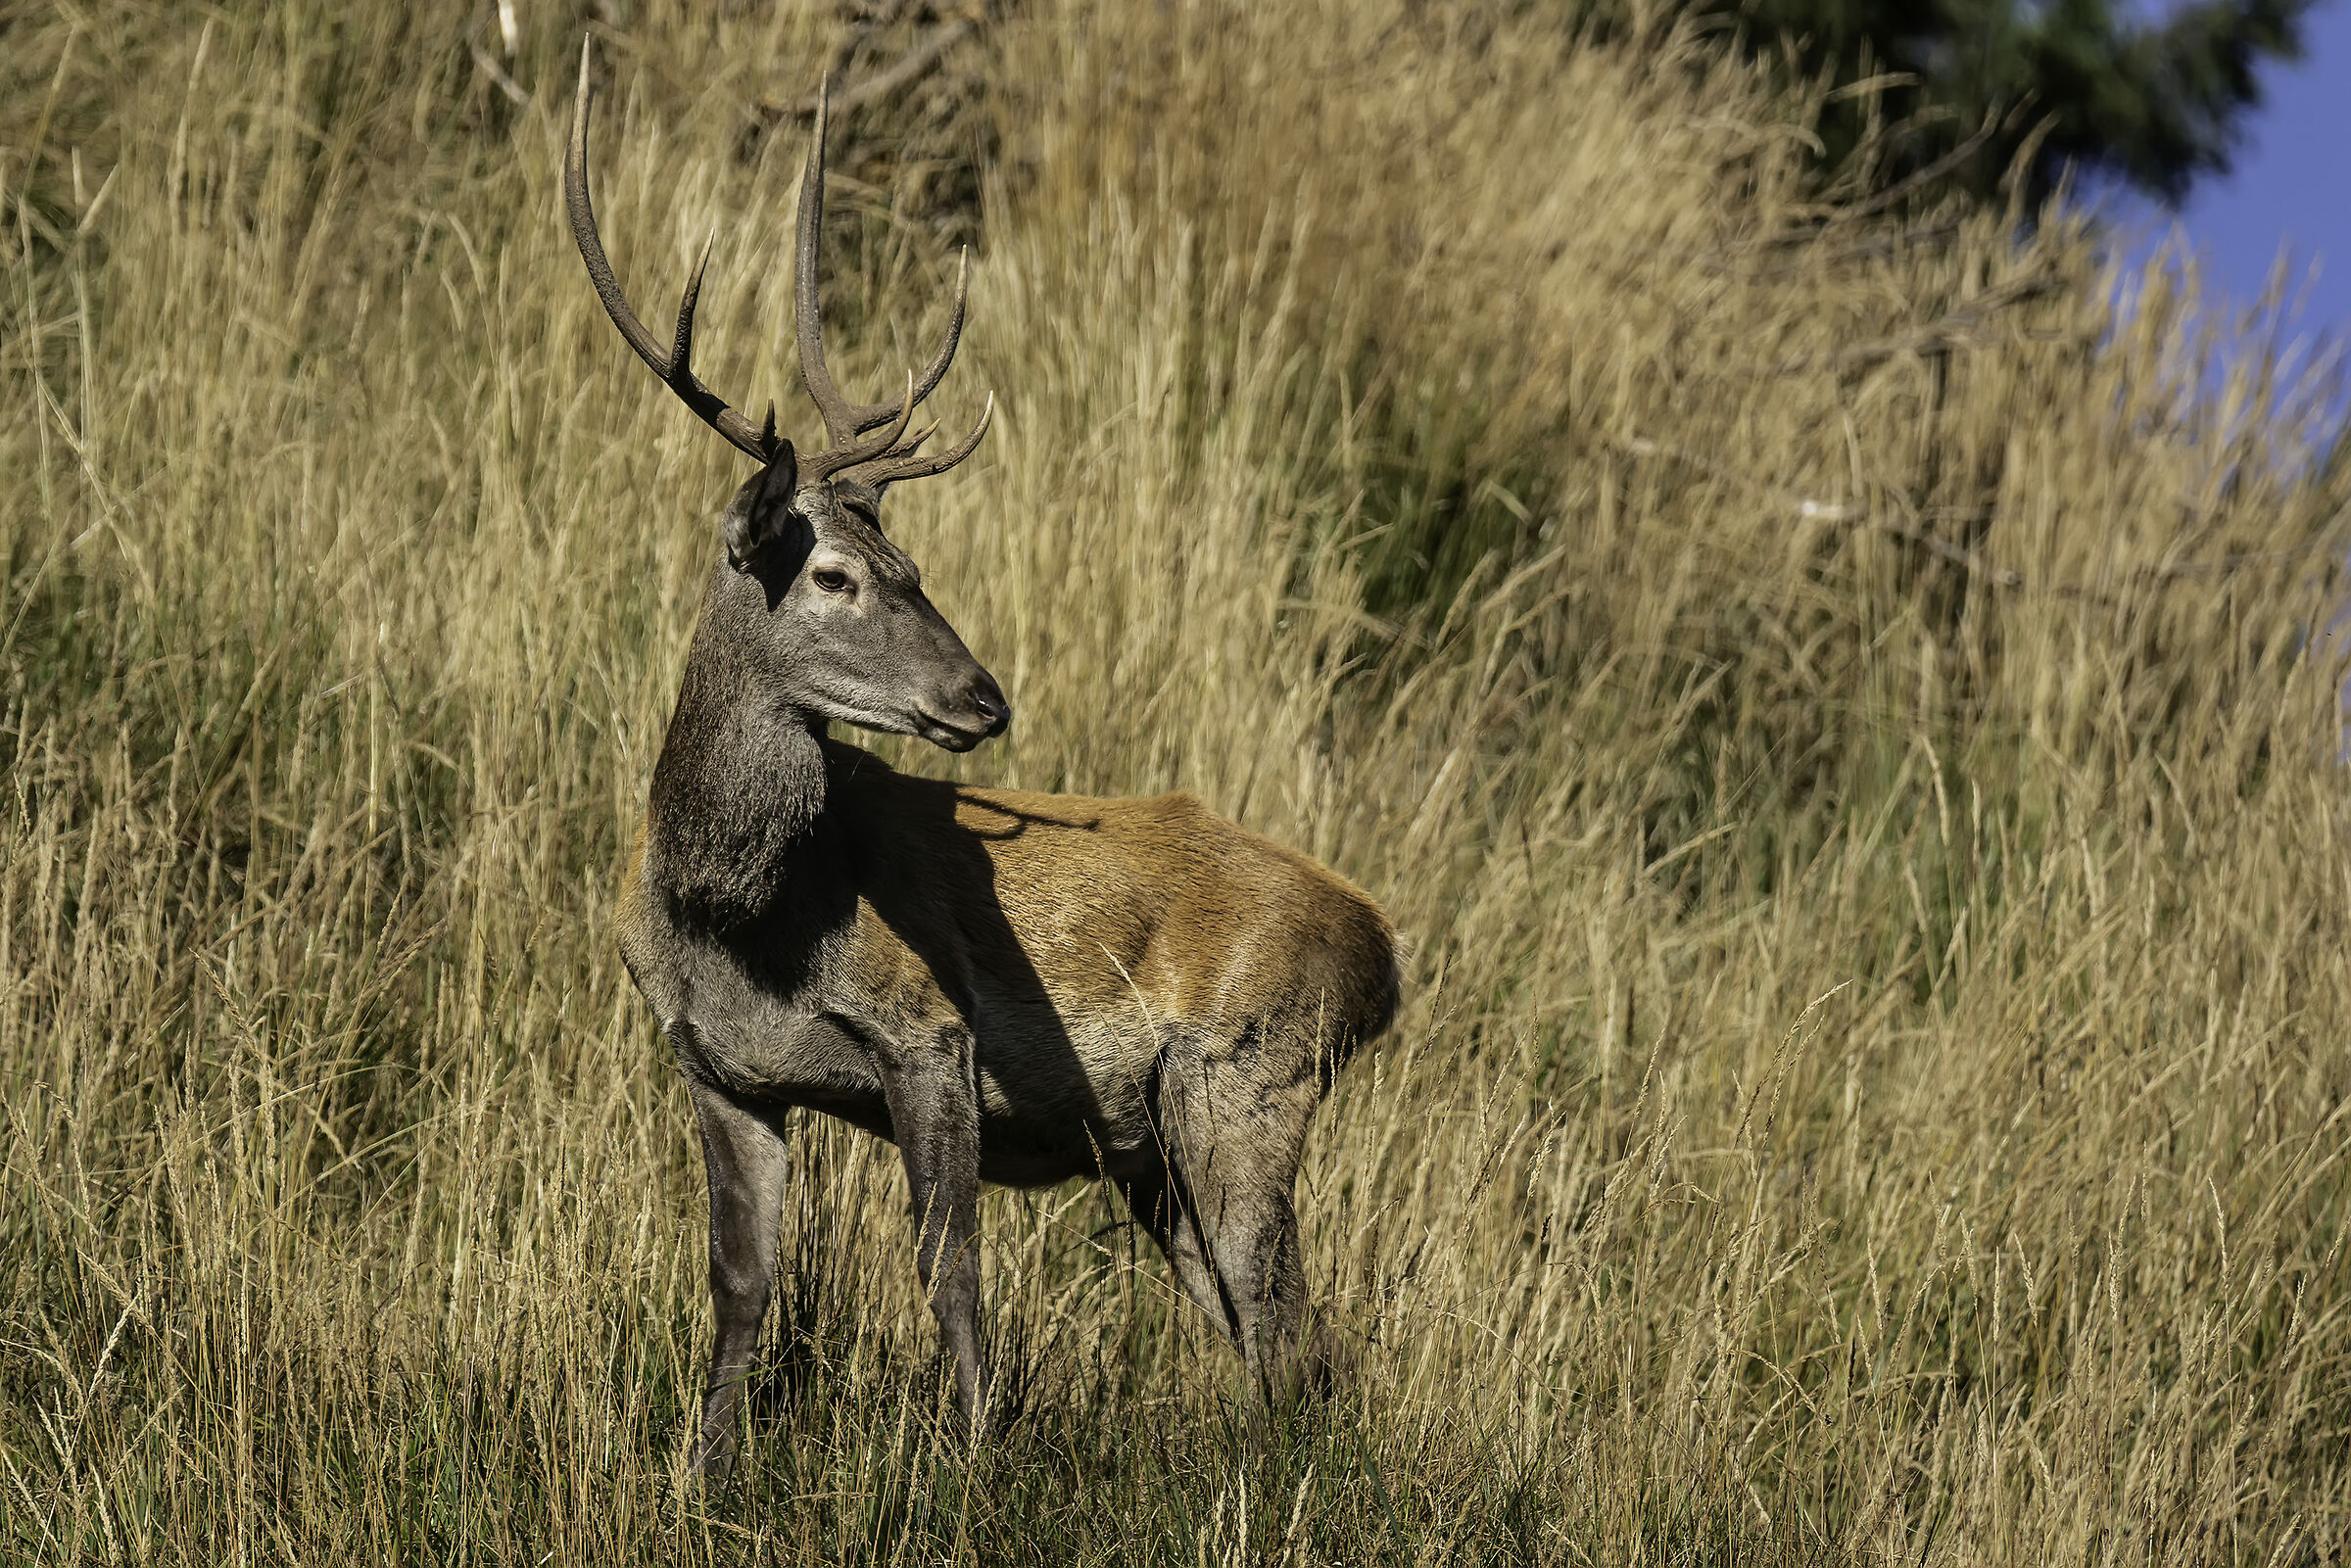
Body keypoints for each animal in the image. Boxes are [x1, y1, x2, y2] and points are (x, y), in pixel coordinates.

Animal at [565, 40, 1399, 1473]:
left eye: (911, 560)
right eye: (835, 573)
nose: (982, 695)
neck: (740, 917)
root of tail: (1384, 955)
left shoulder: (931, 1031)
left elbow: (948, 1264)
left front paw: (970, 1460)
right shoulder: (714, 1067)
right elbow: (742, 1285)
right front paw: (702, 1472)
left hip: (1248, 1080)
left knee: (1292, 1329)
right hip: (1156, 1152)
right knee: (1271, 1331)